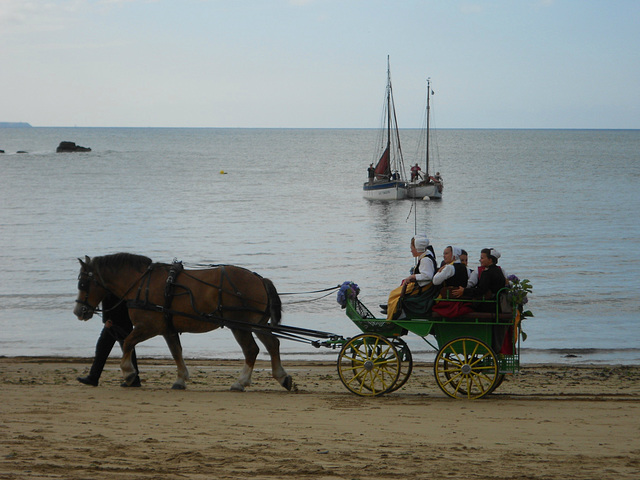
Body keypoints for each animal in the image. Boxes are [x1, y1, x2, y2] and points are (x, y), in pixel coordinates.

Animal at [74, 253, 292, 392]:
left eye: (83, 283)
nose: (78, 311)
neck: (141, 283)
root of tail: (260, 280)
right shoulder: (167, 329)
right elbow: (176, 352)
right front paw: (180, 379)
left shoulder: (148, 327)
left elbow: (127, 342)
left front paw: (128, 373)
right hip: (257, 324)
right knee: (273, 344)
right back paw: (282, 377)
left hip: (240, 326)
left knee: (251, 350)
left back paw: (241, 382)